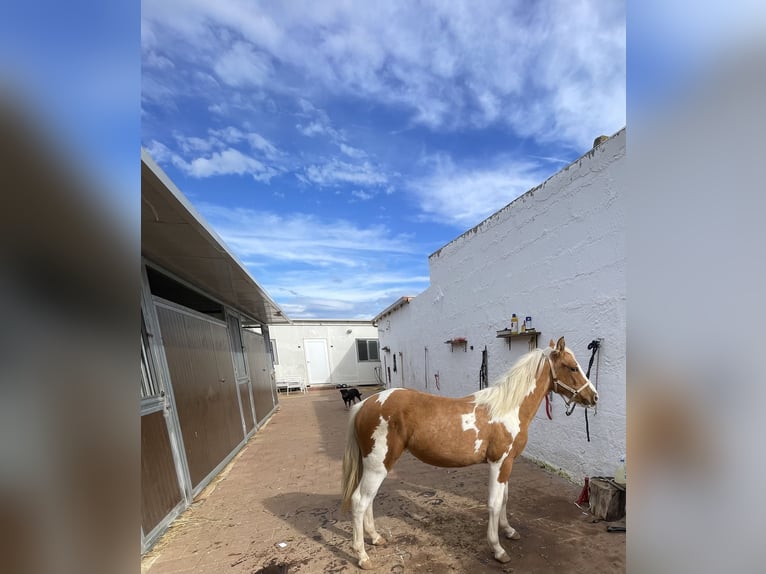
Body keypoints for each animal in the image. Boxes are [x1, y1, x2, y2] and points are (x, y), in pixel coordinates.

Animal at [340, 336, 598, 569]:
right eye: (573, 367)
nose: (594, 397)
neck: (508, 409)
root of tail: (365, 404)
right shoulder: (498, 463)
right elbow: (494, 503)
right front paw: (498, 549)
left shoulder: (508, 464)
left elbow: (505, 498)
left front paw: (509, 530)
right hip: (378, 465)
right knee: (359, 501)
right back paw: (363, 556)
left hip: (377, 465)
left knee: (369, 499)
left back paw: (376, 538)